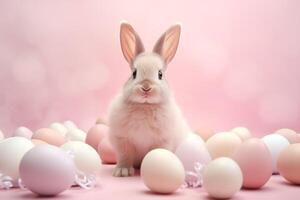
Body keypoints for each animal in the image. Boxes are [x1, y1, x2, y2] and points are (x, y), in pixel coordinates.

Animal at [108, 21, 192, 177]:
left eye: (160, 74)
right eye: (134, 73)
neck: (145, 106)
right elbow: (124, 156)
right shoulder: (123, 141)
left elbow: (157, 153)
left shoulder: (163, 141)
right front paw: (122, 171)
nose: (146, 87)